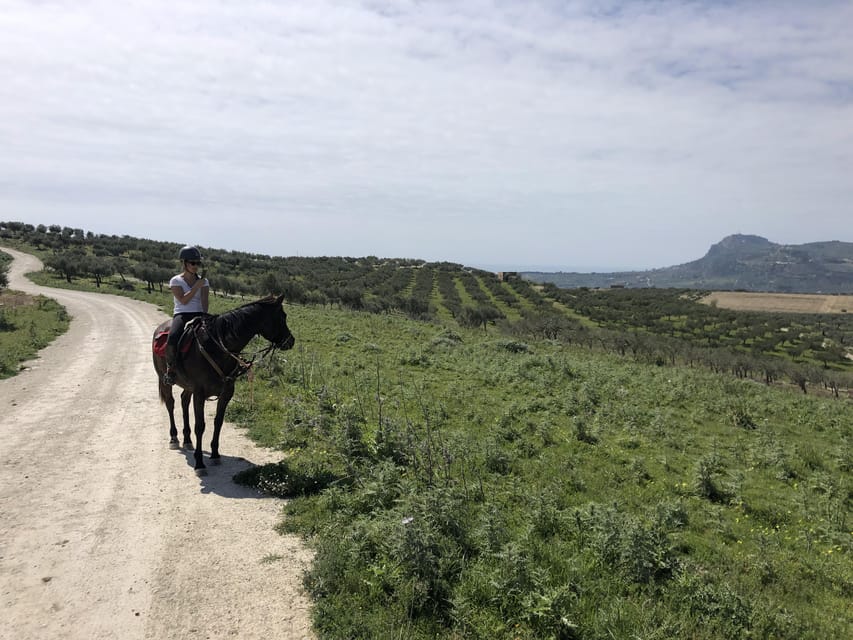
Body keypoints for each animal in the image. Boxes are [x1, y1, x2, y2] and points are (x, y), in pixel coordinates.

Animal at [153, 294, 296, 470]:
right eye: (282, 316)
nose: (291, 341)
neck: (217, 348)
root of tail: (160, 328)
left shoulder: (226, 392)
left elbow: (218, 422)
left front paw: (215, 454)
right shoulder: (199, 394)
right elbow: (200, 426)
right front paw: (199, 463)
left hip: (188, 386)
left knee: (184, 401)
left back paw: (187, 440)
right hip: (164, 380)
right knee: (170, 403)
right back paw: (174, 438)